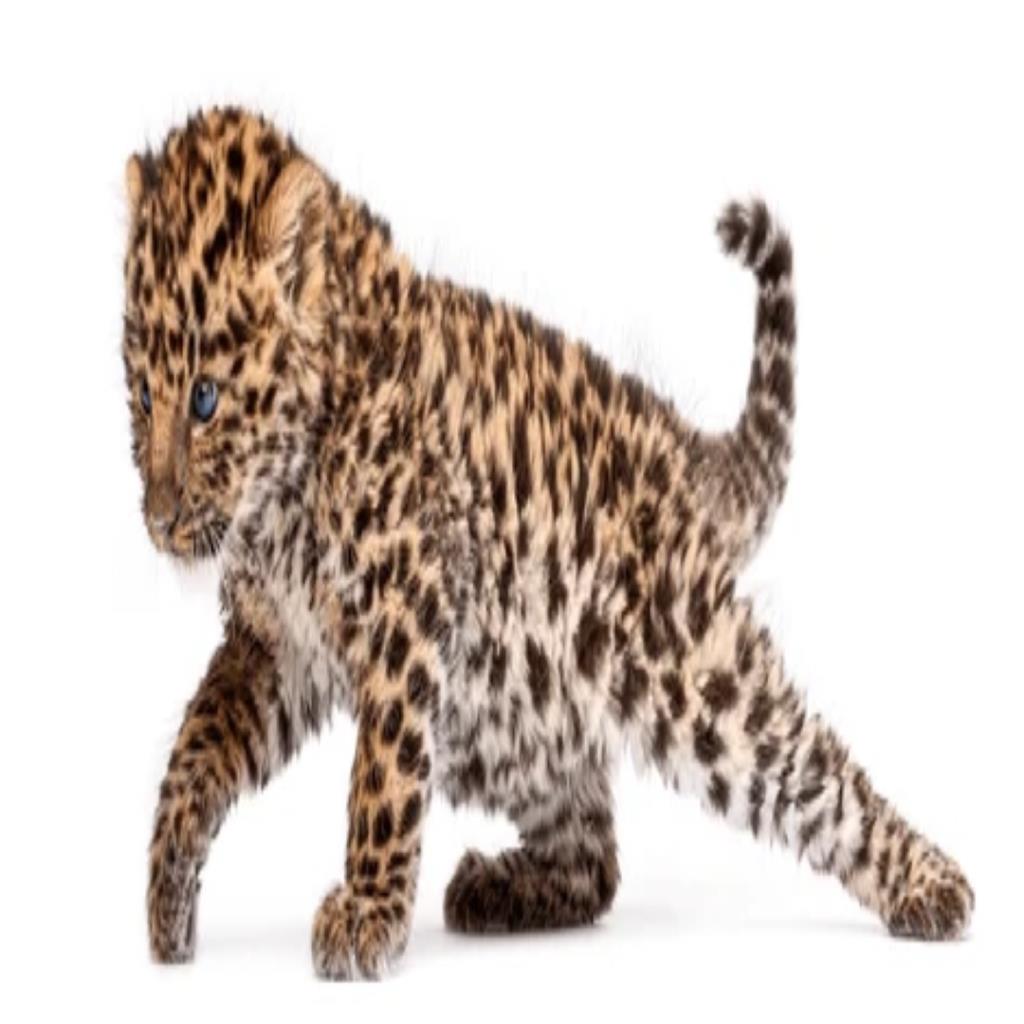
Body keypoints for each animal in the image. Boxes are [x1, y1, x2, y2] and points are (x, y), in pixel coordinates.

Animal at [123, 107, 973, 979]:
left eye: (205, 399)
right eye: (144, 394)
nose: (158, 520)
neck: (277, 504)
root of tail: (678, 445)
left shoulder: (404, 616)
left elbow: (382, 777)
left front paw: (366, 913)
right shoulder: (275, 644)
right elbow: (196, 748)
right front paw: (169, 894)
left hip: (684, 664)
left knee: (811, 775)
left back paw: (930, 881)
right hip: (508, 702)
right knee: (594, 851)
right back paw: (497, 889)